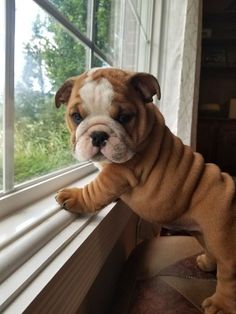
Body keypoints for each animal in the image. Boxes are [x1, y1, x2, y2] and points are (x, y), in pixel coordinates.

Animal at [55, 67, 236, 312]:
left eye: (123, 117)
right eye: (76, 116)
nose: (98, 135)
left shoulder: (118, 173)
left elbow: (94, 190)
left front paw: (72, 196)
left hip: (223, 239)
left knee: (229, 273)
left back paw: (221, 305)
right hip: (204, 235)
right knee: (211, 252)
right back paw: (206, 263)